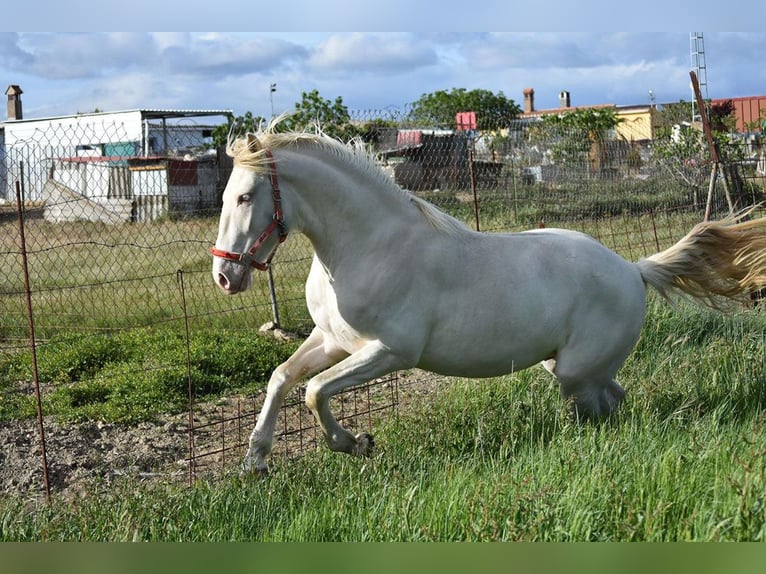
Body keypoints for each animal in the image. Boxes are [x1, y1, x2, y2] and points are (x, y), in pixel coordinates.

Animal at [210, 120, 766, 472]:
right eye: (226, 196)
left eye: (245, 196)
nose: (223, 276)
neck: (369, 246)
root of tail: (633, 270)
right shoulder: (331, 340)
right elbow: (282, 378)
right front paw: (254, 461)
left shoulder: (390, 351)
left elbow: (314, 390)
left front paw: (356, 443)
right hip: (568, 367)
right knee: (617, 397)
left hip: (575, 376)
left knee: (599, 411)